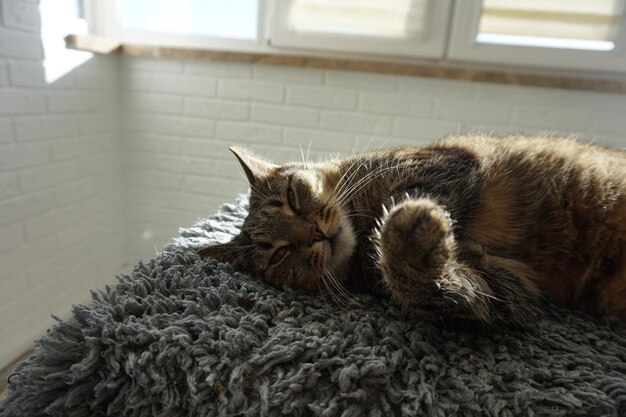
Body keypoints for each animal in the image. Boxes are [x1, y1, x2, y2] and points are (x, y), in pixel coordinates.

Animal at [199, 135, 624, 324]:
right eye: (279, 253)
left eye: (291, 195)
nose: (315, 234)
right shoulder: (512, 293)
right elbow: (431, 287)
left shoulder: (443, 164)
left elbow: (406, 198)